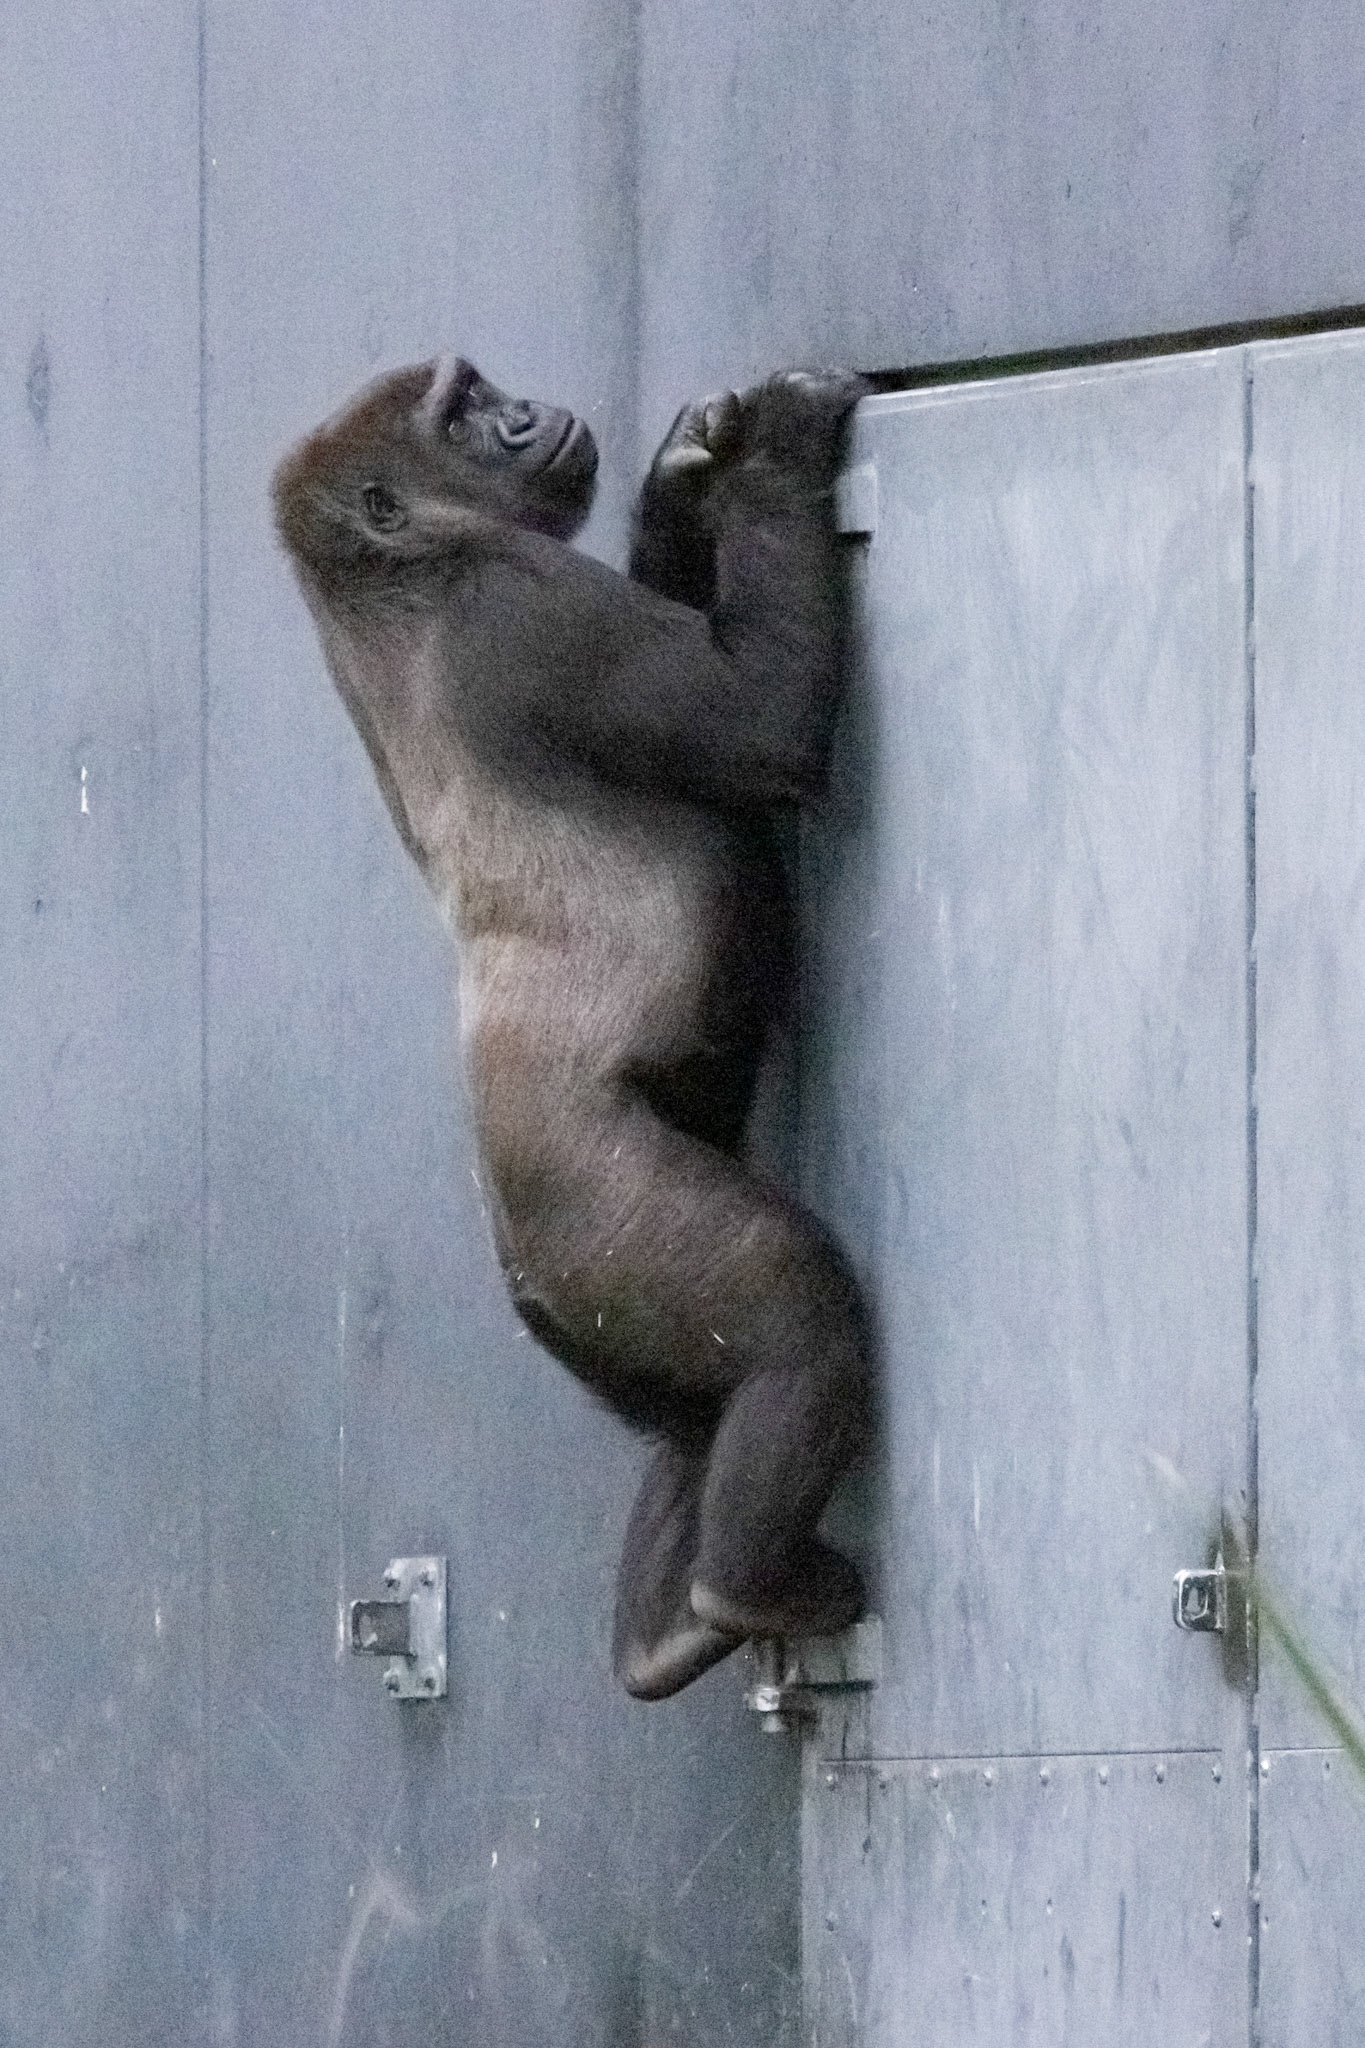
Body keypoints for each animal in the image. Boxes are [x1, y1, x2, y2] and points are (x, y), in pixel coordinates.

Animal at [273, 354, 873, 1700]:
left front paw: (685, 480)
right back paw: (749, 1582)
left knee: (703, 1403)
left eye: (481, 386)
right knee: (797, 1317)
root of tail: (516, 1253)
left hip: (578, 1308)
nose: (525, 416)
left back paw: (668, 1627)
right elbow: (761, 717)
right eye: (459, 413)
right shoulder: (521, 609)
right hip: (597, 1219)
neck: (392, 576)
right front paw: (778, 453)